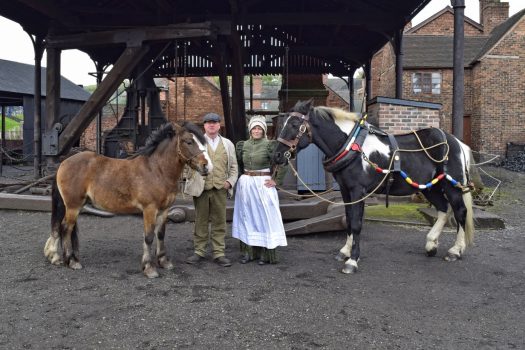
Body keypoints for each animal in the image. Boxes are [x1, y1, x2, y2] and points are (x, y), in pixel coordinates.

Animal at [43, 121, 211, 278]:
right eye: (189, 141)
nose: (206, 166)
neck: (156, 170)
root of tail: (64, 162)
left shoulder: (164, 210)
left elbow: (160, 234)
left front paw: (164, 262)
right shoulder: (149, 209)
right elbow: (149, 237)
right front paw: (149, 268)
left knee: (59, 227)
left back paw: (57, 257)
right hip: (73, 206)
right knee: (66, 228)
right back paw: (72, 261)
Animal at [274, 100, 474, 274]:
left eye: (294, 124)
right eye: (283, 123)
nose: (276, 155)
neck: (351, 145)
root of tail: (457, 142)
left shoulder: (358, 190)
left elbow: (356, 223)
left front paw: (352, 260)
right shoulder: (346, 190)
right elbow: (348, 219)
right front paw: (345, 251)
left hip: (450, 185)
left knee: (460, 211)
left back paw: (455, 250)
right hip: (429, 187)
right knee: (443, 209)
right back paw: (431, 244)